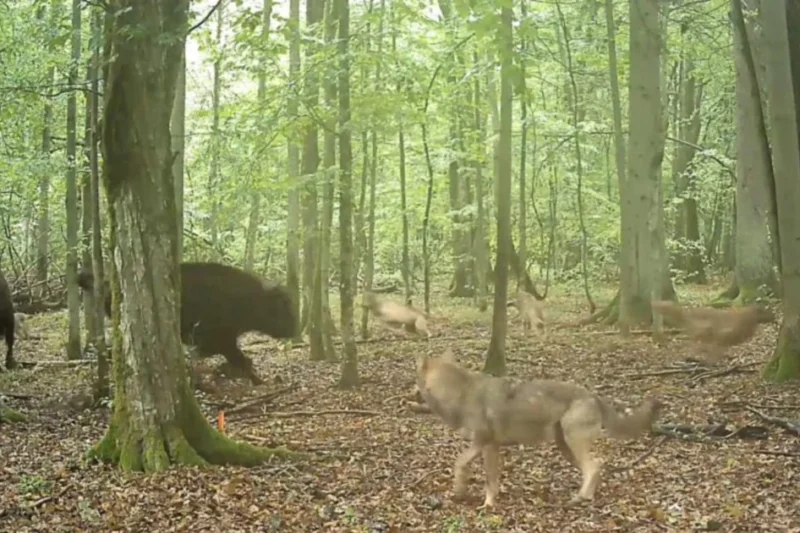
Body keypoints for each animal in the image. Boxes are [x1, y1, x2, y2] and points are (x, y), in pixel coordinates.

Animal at [415, 350, 662, 507]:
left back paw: (579, 499)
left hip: (572, 443)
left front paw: (485, 504)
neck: (460, 394)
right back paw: (586, 497)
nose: (412, 391)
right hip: (565, 447)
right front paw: (464, 492)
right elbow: (472, 469)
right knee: (596, 468)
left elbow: (477, 473)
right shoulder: (487, 445)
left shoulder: (485, 443)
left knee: (594, 466)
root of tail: (594, 395)